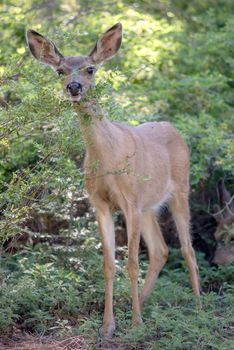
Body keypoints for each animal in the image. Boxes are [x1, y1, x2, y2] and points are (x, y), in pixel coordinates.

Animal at [26, 23, 200, 338]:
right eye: (60, 71)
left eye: (90, 68)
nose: (74, 87)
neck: (108, 156)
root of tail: (173, 128)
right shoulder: (101, 203)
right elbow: (109, 263)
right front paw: (108, 325)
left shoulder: (130, 201)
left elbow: (131, 262)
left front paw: (136, 324)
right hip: (149, 207)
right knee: (161, 250)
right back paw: (140, 302)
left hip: (180, 191)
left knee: (187, 249)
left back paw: (199, 309)